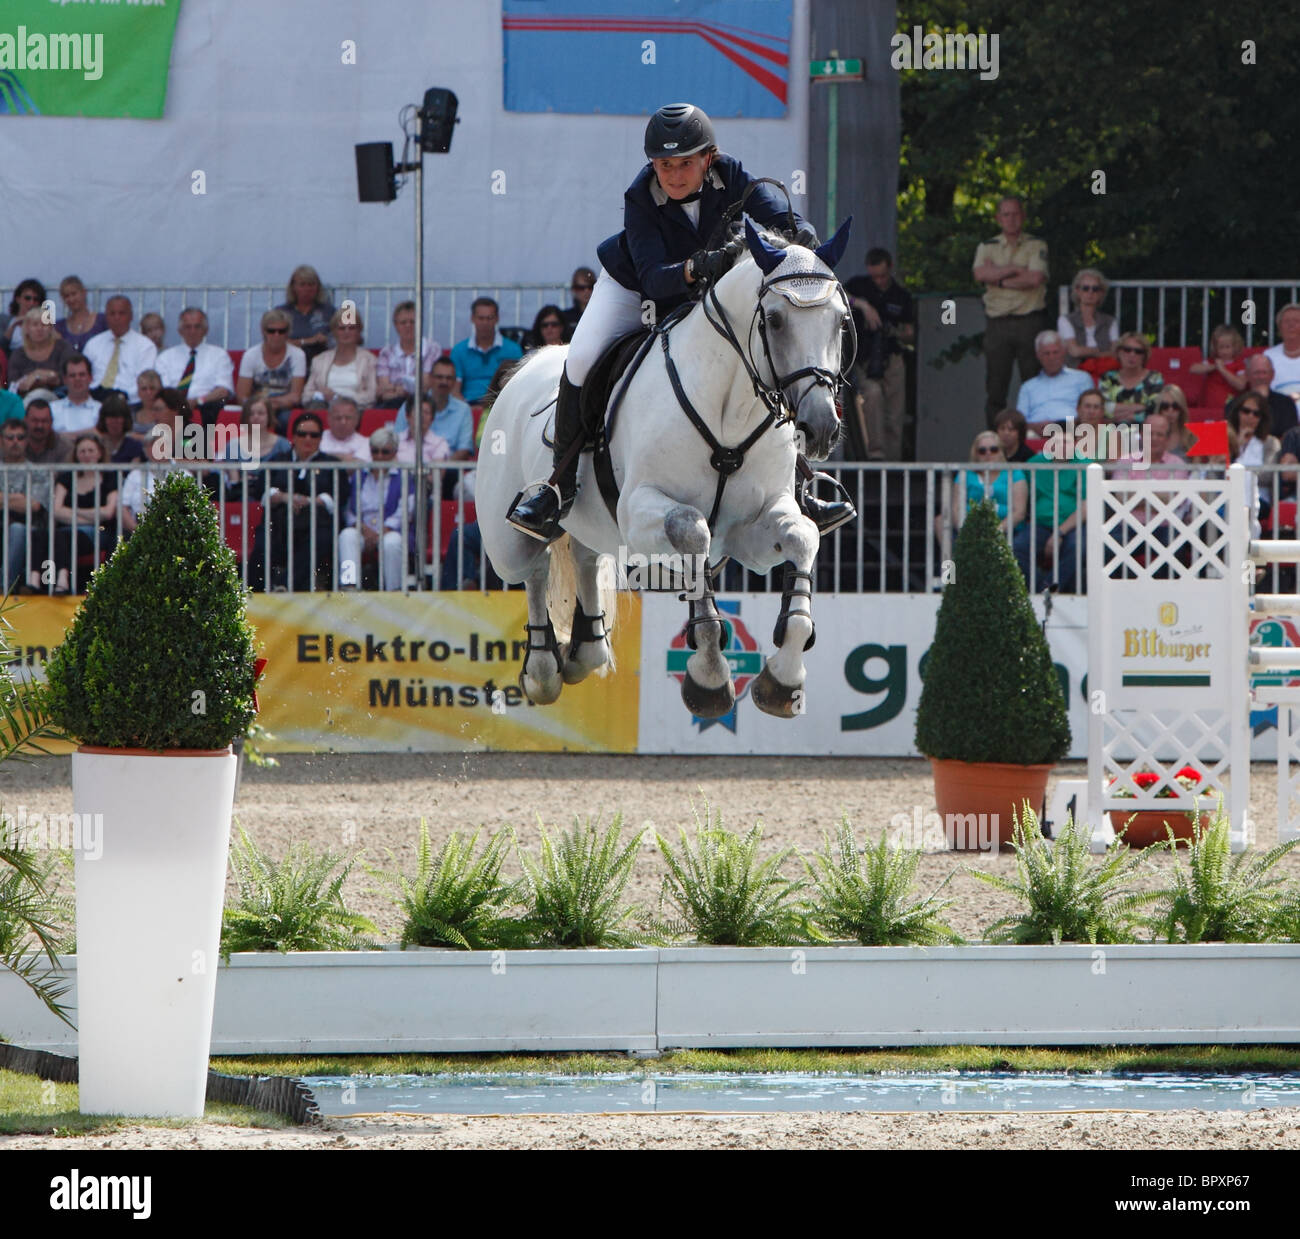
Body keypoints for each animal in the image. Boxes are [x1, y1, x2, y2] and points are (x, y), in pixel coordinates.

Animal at [478, 214, 852, 717]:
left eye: (841, 321)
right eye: (773, 320)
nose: (821, 428)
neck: (730, 408)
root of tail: (525, 369)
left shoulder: (753, 528)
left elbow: (802, 536)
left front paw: (783, 679)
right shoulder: (642, 514)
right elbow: (693, 532)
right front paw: (710, 679)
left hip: (594, 526)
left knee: (585, 557)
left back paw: (585, 651)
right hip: (509, 542)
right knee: (534, 566)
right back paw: (542, 670)